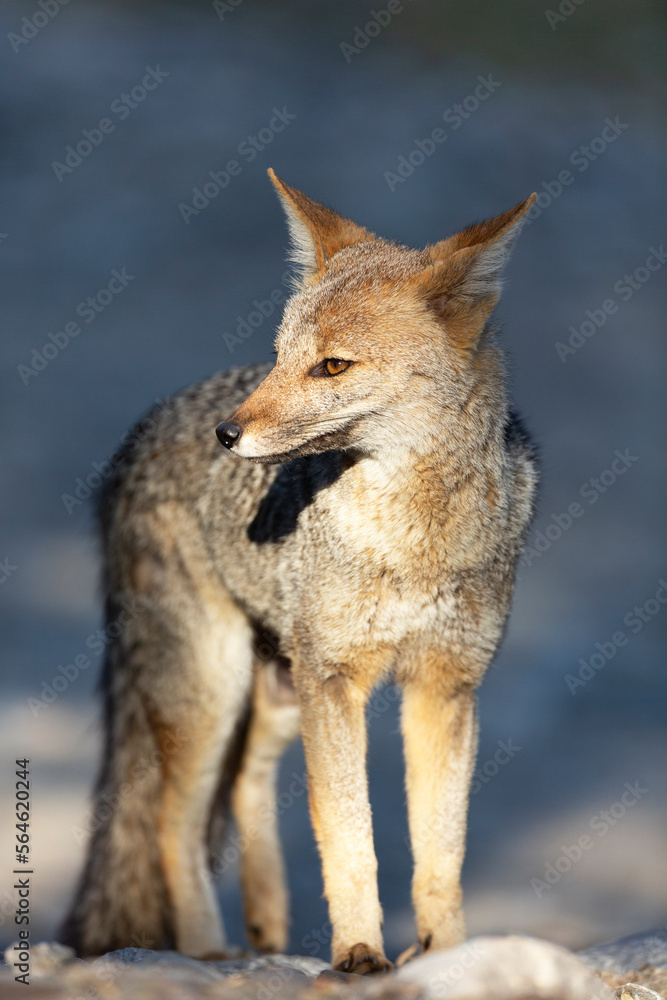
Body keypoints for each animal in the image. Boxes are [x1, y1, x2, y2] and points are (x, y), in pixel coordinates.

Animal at [61, 170, 538, 974]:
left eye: (332, 365)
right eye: (280, 354)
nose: (226, 433)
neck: (411, 543)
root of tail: (142, 429)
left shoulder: (445, 685)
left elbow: (439, 851)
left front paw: (447, 953)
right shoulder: (335, 681)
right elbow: (347, 833)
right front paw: (359, 952)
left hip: (278, 694)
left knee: (247, 785)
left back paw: (267, 926)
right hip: (212, 692)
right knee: (171, 824)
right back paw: (208, 950)